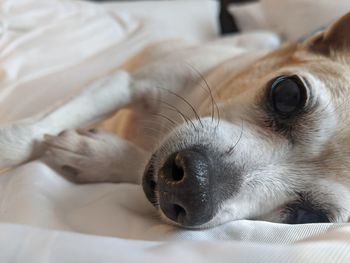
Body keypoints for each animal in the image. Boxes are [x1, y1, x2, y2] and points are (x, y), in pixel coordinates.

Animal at [2, 11, 350, 231]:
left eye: (308, 217)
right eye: (287, 93)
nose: (194, 187)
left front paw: (97, 155)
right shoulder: (126, 83)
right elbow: (35, 129)